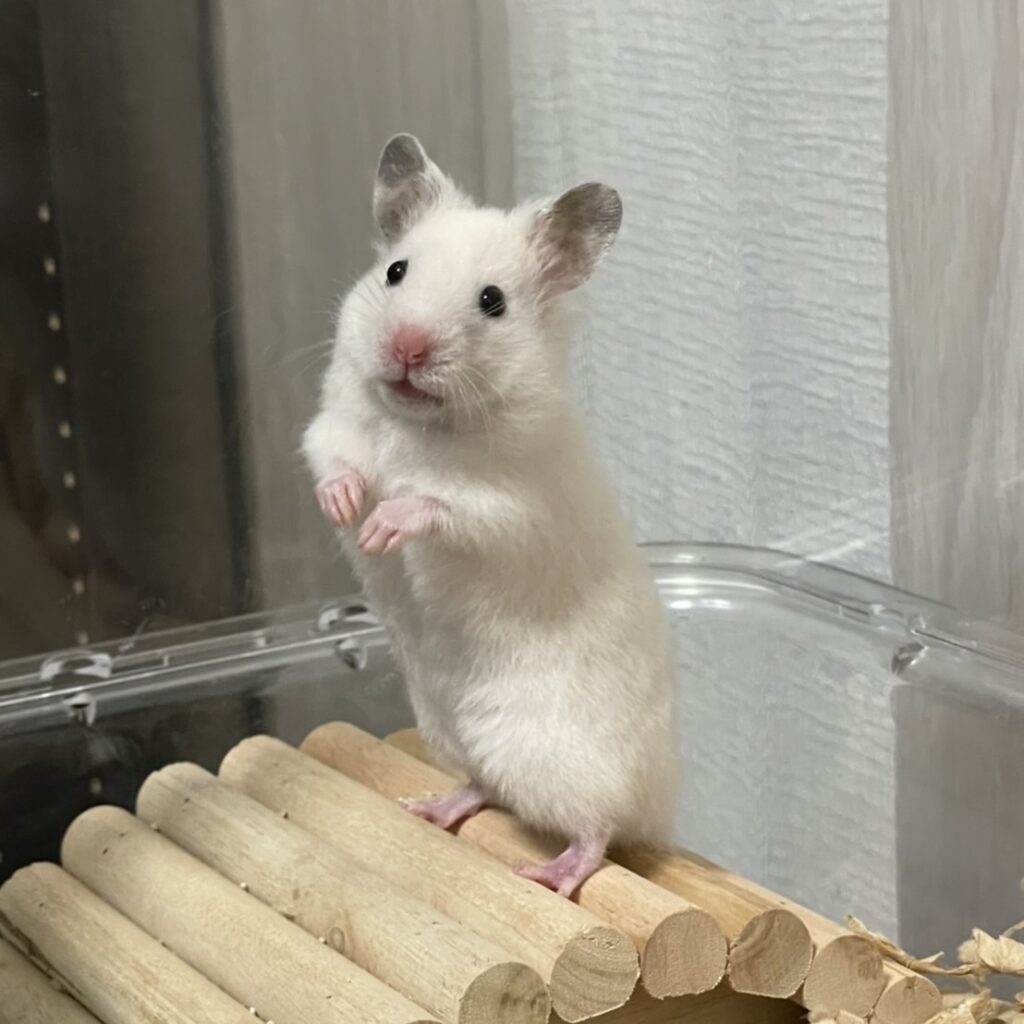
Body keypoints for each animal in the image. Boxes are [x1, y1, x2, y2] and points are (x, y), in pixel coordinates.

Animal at [307, 134, 684, 897]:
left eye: (493, 301)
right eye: (395, 271)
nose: (408, 347)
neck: (416, 425)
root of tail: (662, 807)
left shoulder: (510, 506)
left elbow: (438, 505)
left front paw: (382, 525)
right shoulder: (332, 429)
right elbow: (332, 463)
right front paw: (348, 505)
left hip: (561, 762)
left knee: (597, 828)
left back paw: (549, 874)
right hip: (451, 731)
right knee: (486, 787)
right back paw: (429, 807)